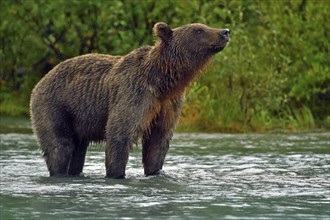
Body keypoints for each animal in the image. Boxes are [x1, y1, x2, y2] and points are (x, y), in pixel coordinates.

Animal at [29, 21, 229, 178]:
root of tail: (40, 80)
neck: (163, 81)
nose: (225, 31)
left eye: (204, 26)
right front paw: (116, 174)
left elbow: (158, 142)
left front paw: (155, 171)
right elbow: (120, 133)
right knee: (60, 146)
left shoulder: (168, 104)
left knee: (77, 152)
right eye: (199, 30)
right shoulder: (134, 93)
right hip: (56, 106)